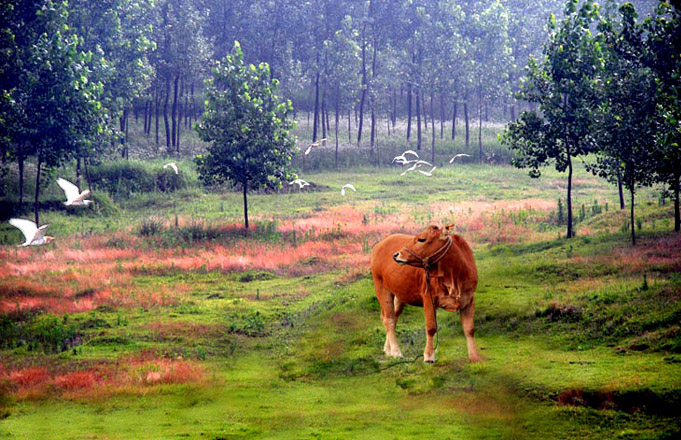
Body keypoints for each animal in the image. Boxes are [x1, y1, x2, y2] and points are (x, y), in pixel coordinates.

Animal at [370, 225, 480, 362]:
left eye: (422, 239)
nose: (396, 254)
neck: (453, 277)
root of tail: (380, 244)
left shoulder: (468, 300)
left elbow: (469, 329)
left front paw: (474, 356)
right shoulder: (429, 298)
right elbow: (431, 328)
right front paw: (429, 355)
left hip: (400, 294)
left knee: (393, 317)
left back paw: (388, 349)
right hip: (381, 287)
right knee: (388, 319)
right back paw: (396, 352)